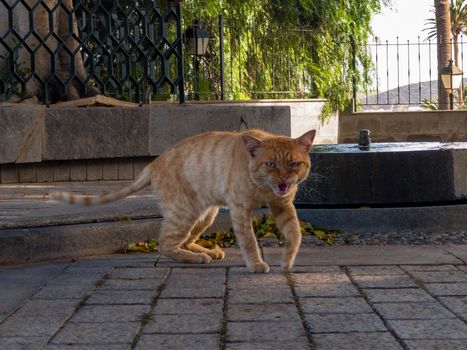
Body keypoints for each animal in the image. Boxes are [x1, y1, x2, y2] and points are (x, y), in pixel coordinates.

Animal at [51, 129, 316, 274]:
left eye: (294, 164)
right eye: (270, 164)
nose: (284, 179)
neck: (264, 189)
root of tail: (153, 163)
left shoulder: (282, 206)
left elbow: (295, 233)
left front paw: (287, 260)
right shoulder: (240, 210)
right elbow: (249, 241)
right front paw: (255, 264)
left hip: (205, 215)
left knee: (185, 240)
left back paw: (208, 252)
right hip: (185, 213)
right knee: (165, 244)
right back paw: (196, 258)